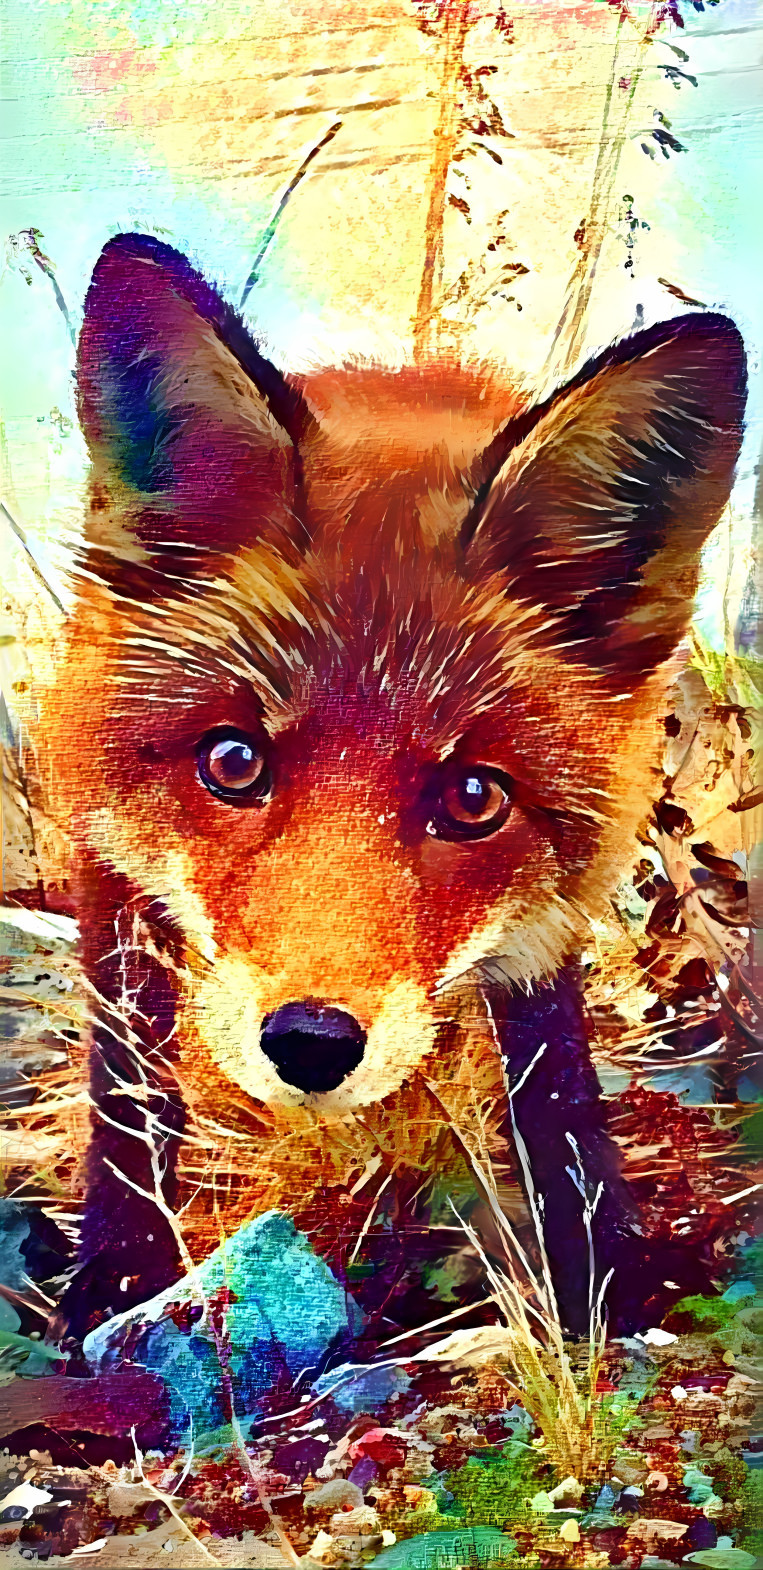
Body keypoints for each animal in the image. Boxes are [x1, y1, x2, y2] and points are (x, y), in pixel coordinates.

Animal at [40, 232, 744, 1350]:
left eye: (473, 798)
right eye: (232, 762)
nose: (310, 1045)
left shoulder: (549, 923)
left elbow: (558, 1091)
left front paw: (602, 1268)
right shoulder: (109, 857)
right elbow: (131, 1090)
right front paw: (122, 1269)